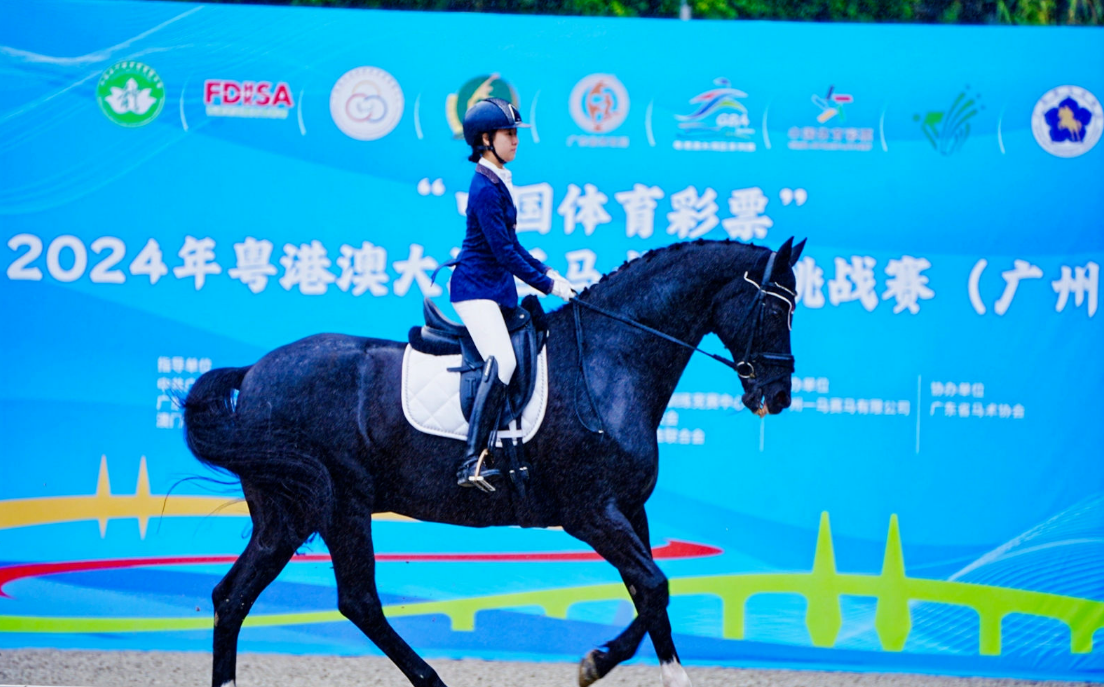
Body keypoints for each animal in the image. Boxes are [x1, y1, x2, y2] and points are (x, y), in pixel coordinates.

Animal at [182, 237, 805, 687]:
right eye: (774, 309)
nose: (776, 396)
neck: (610, 364)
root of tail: (255, 372)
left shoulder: (630, 509)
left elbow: (649, 594)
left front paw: (623, 664)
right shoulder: (591, 513)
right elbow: (653, 586)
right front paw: (603, 666)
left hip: (289, 514)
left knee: (233, 597)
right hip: (341, 505)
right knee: (356, 600)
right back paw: (433, 682)